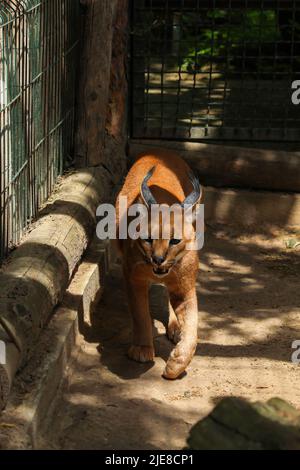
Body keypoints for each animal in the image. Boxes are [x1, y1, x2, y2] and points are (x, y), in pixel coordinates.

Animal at [116, 150, 203, 378]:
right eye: (148, 239)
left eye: (175, 240)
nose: (158, 259)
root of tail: (160, 152)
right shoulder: (133, 277)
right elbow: (140, 313)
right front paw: (142, 349)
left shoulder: (185, 285)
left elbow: (193, 324)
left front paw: (178, 362)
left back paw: (174, 328)